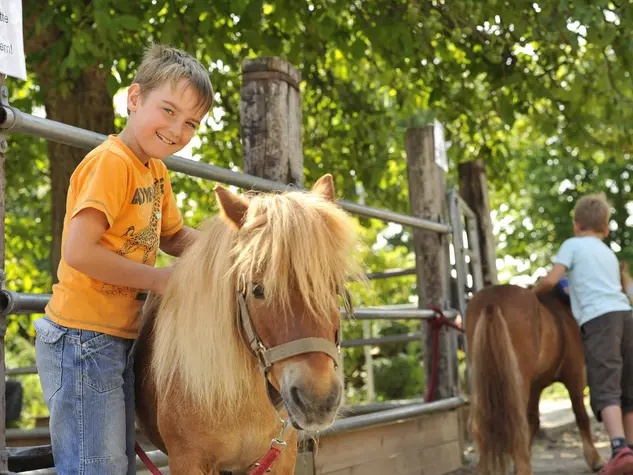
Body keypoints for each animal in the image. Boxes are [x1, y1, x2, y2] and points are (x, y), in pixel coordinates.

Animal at [464, 284, 604, 475]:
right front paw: (595, 460)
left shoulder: (535, 387)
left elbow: (534, 421)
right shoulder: (574, 376)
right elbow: (581, 415)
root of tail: (492, 301)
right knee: (517, 426)